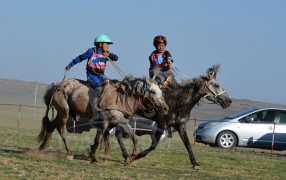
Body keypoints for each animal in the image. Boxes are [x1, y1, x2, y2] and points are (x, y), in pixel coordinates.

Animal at [103, 64, 232, 170]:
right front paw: (134, 157)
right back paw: (125, 156)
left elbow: (188, 144)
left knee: (117, 133)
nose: (228, 101)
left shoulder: (180, 126)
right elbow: (153, 145)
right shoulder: (161, 125)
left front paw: (195, 164)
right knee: (117, 133)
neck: (177, 103)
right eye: (216, 85)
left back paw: (124, 155)